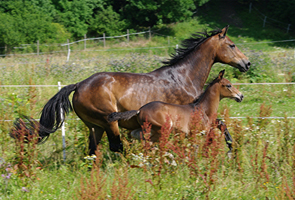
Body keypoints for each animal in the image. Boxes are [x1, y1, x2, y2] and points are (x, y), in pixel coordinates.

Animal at [107, 69, 244, 143]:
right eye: (228, 85)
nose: (241, 96)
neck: (203, 109)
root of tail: (139, 110)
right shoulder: (195, 134)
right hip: (162, 130)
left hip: (144, 130)